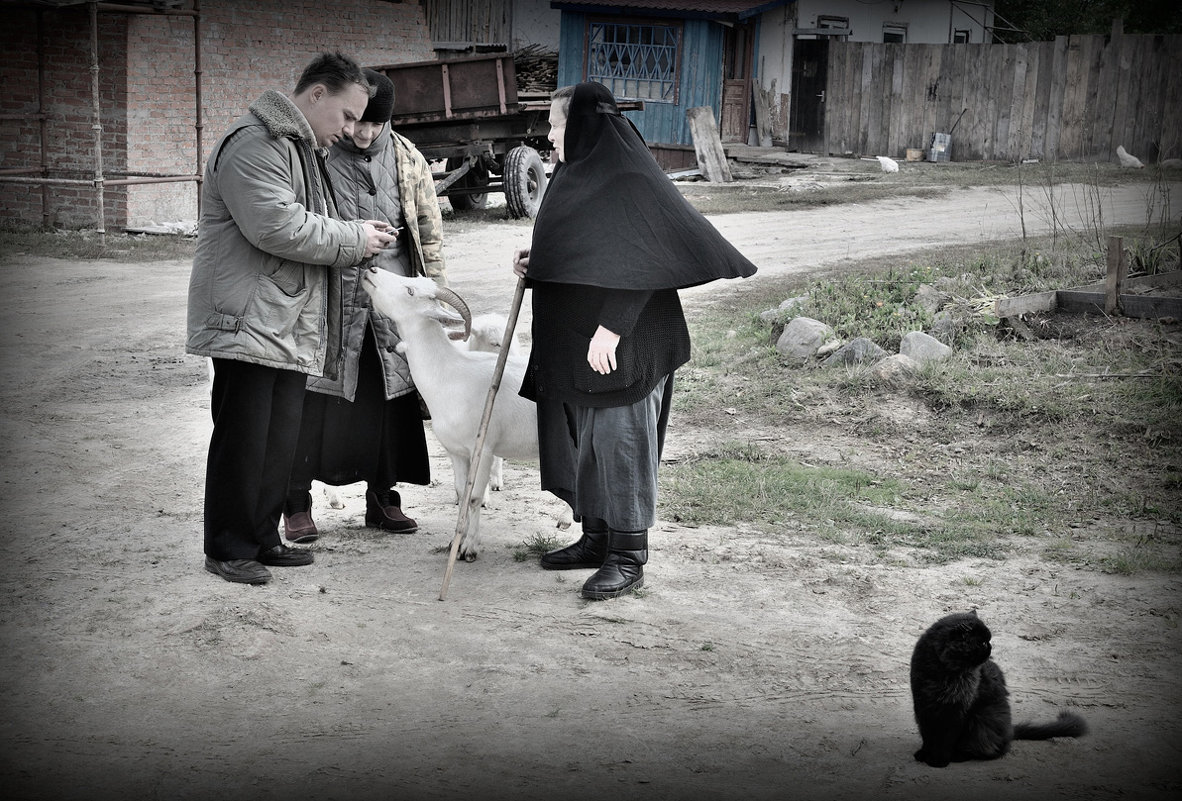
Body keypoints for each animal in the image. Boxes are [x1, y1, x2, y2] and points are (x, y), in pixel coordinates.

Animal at [361, 269, 538, 557]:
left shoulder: (483, 449)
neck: (451, 373)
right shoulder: (456, 451)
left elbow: (474, 498)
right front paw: (455, 544)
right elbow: (461, 493)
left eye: (410, 290)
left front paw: (469, 548)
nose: (371, 270)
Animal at [903, 614, 1087, 770]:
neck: (943, 673)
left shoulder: (957, 712)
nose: (991, 647)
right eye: (982, 643)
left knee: (991, 749)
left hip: (984, 720)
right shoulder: (923, 707)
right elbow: (927, 737)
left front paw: (939, 760)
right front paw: (924, 754)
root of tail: (1010, 731)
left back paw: (960, 755)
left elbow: (947, 739)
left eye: (988, 641)